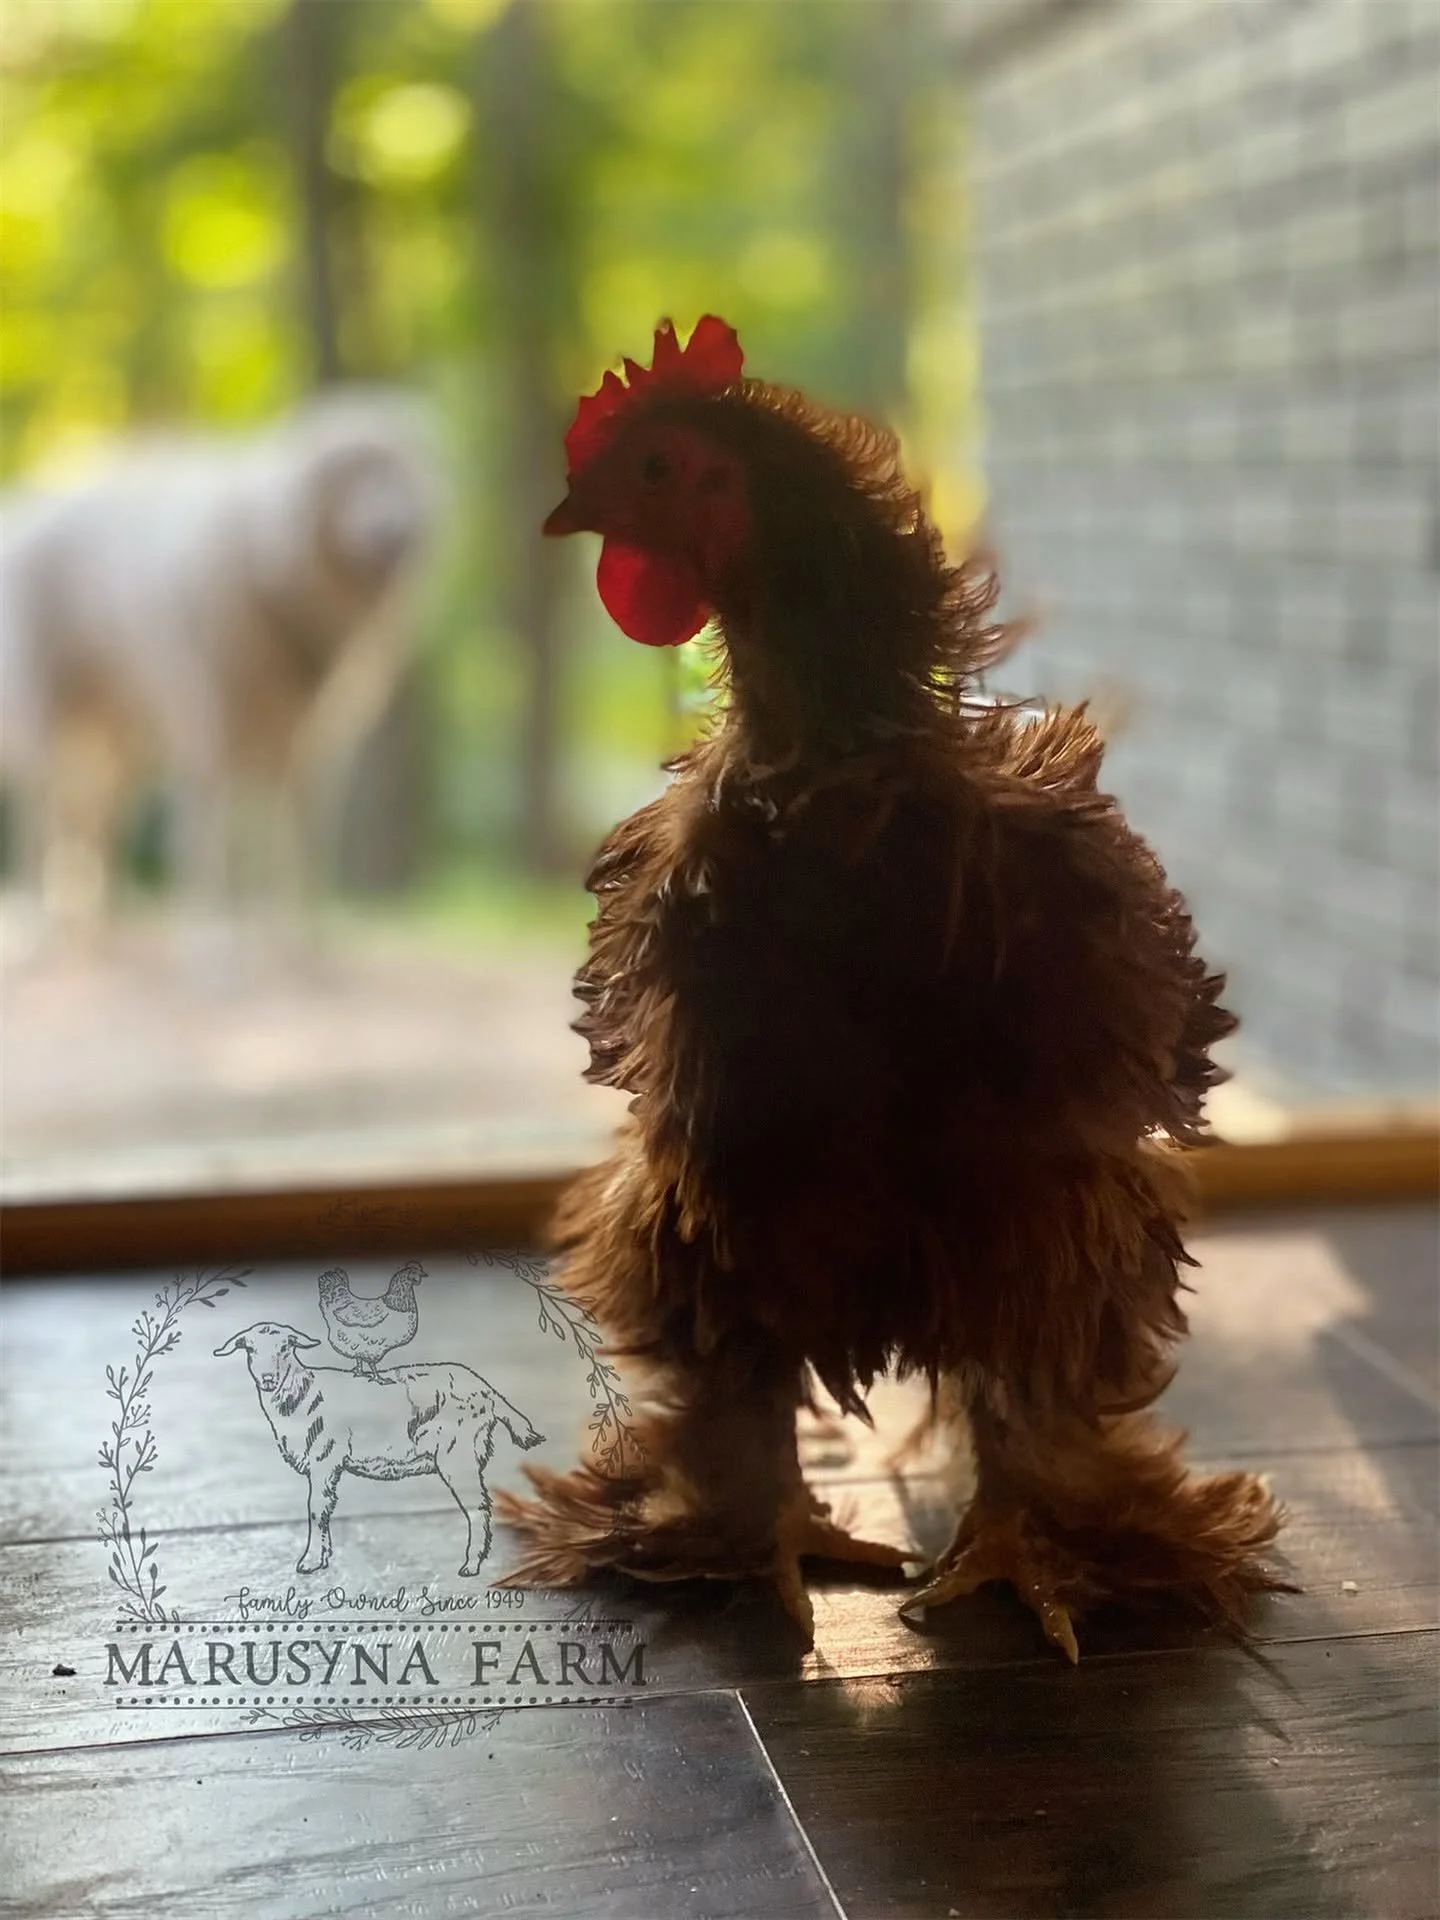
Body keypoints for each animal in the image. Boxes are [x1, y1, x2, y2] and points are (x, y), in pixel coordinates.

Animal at [214, 1321, 544, 1577]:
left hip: (457, 1451)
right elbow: (326, 1509)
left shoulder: (324, 1459)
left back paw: (471, 1565)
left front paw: (309, 1562)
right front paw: (324, 1556)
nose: (268, 1379)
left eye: (285, 1347)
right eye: (250, 1349)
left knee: (479, 1507)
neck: (302, 1395)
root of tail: (490, 1392)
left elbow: (315, 1509)